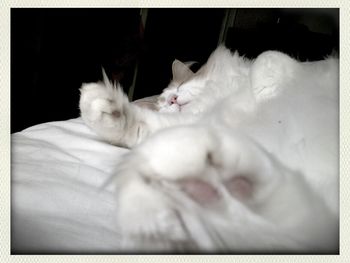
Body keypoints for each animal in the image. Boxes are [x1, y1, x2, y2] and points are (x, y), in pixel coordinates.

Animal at [80, 46, 340, 253]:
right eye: (163, 103)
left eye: (180, 86)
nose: (172, 100)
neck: (215, 100)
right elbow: (136, 125)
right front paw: (100, 107)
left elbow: (266, 59)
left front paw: (268, 97)